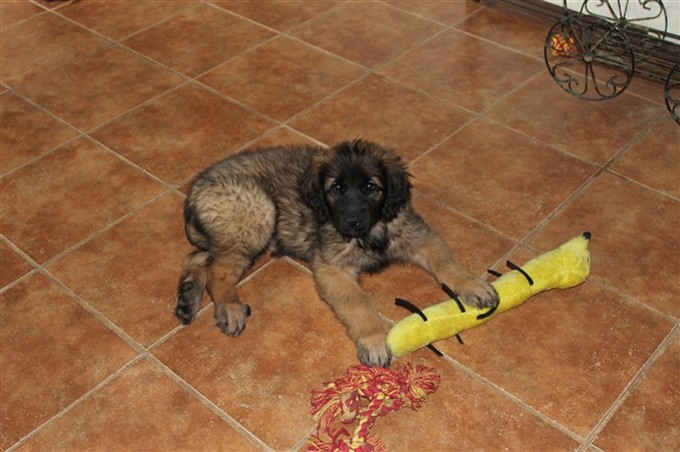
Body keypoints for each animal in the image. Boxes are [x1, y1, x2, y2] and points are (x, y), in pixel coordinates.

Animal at [173, 139, 496, 368]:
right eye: (336, 189)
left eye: (371, 187)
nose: (351, 221)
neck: (369, 232)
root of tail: (195, 190)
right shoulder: (333, 268)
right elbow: (358, 303)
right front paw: (374, 340)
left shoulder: (419, 236)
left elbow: (447, 262)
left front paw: (474, 285)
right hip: (256, 214)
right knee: (218, 271)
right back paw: (229, 307)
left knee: (197, 258)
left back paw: (188, 297)